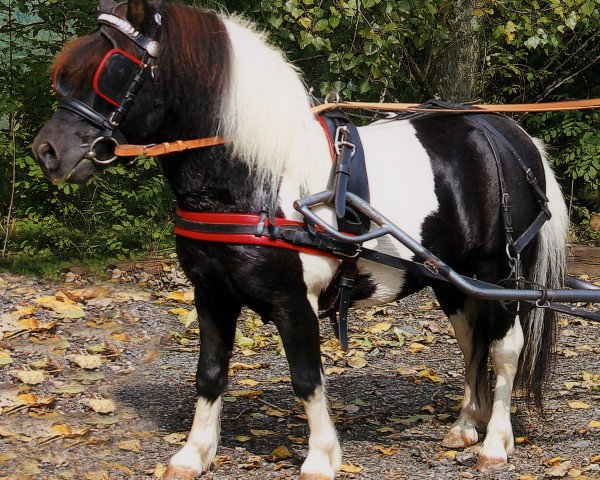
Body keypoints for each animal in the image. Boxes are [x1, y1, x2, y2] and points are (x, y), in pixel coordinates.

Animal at [31, 1, 568, 478]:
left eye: (113, 69)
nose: (47, 151)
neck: (259, 179)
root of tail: (505, 131)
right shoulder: (211, 295)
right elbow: (209, 373)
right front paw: (193, 454)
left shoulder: (294, 301)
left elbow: (307, 377)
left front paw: (320, 458)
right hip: (450, 280)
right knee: (471, 342)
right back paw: (465, 425)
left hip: (499, 273)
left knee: (503, 347)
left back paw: (495, 441)